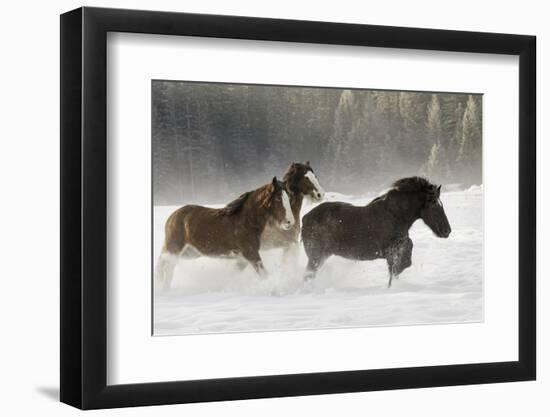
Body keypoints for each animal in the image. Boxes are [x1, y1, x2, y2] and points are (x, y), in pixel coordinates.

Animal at [157, 176, 296, 290]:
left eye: (288, 198)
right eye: (278, 198)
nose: (290, 221)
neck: (246, 221)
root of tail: (173, 215)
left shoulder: (243, 258)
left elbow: (232, 274)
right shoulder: (250, 254)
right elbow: (264, 274)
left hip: (189, 253)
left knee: (163, 264)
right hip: (175, 249)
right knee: (166, 266)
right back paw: (163, 289)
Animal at [302, 176, 452, 286]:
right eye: (433, 203)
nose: (447, 231)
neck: (395, 215)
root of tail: (305, 218)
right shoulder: (392, 251)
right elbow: (401, 264)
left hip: (322, 256)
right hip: (315, 257)